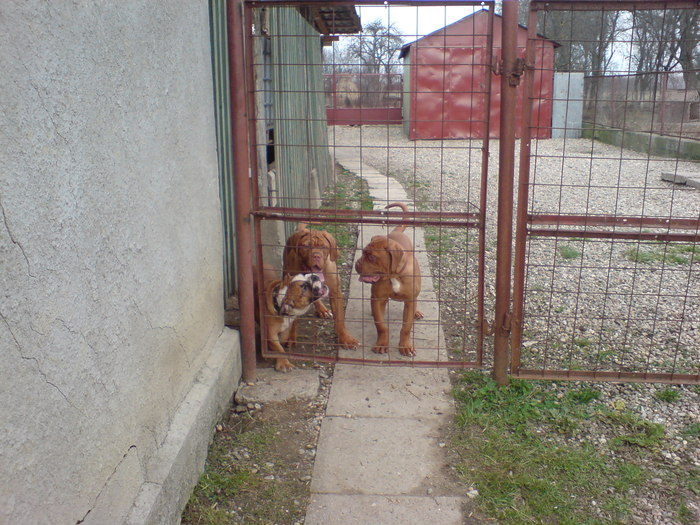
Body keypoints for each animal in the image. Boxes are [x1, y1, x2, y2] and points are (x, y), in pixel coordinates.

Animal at [352, 203, 424, 354]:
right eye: (363, 252)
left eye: (372, 257)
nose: (357, 264)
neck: (394, 275)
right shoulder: (378, 297)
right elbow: (381, 325)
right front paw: (382, 344)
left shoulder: (410, 301)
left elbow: (406, 327)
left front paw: (405, 346)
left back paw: (417, 312)